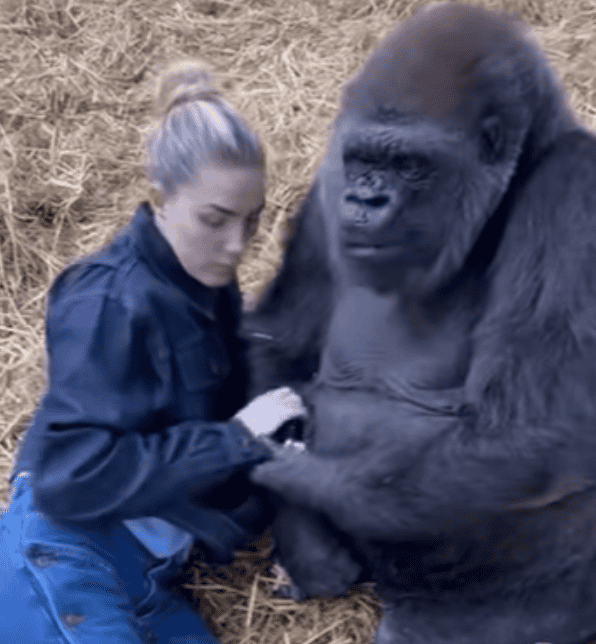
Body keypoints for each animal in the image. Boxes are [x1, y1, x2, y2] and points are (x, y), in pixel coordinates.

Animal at [244, 5, 596, 644]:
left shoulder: (577, 190)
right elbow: (281, 341)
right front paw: (306, 540)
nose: (365, 201)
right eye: (363, 161)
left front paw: (289, 473)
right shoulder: (328, 184)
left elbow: (531, 432)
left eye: (410, 165)